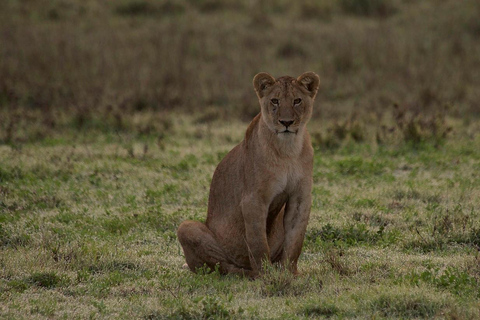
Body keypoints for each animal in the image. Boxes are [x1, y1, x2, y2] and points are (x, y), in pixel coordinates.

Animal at [176, 72, 318, 278]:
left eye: (297, 100)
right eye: (275, 101)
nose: (286, 123)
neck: (288, 150)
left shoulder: (300, 197)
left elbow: (295, 240)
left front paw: (290, 272)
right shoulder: (253, 199)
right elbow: (258, 242)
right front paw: (265, 274)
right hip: (187, 227)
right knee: (222, 266)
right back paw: (247, 273)